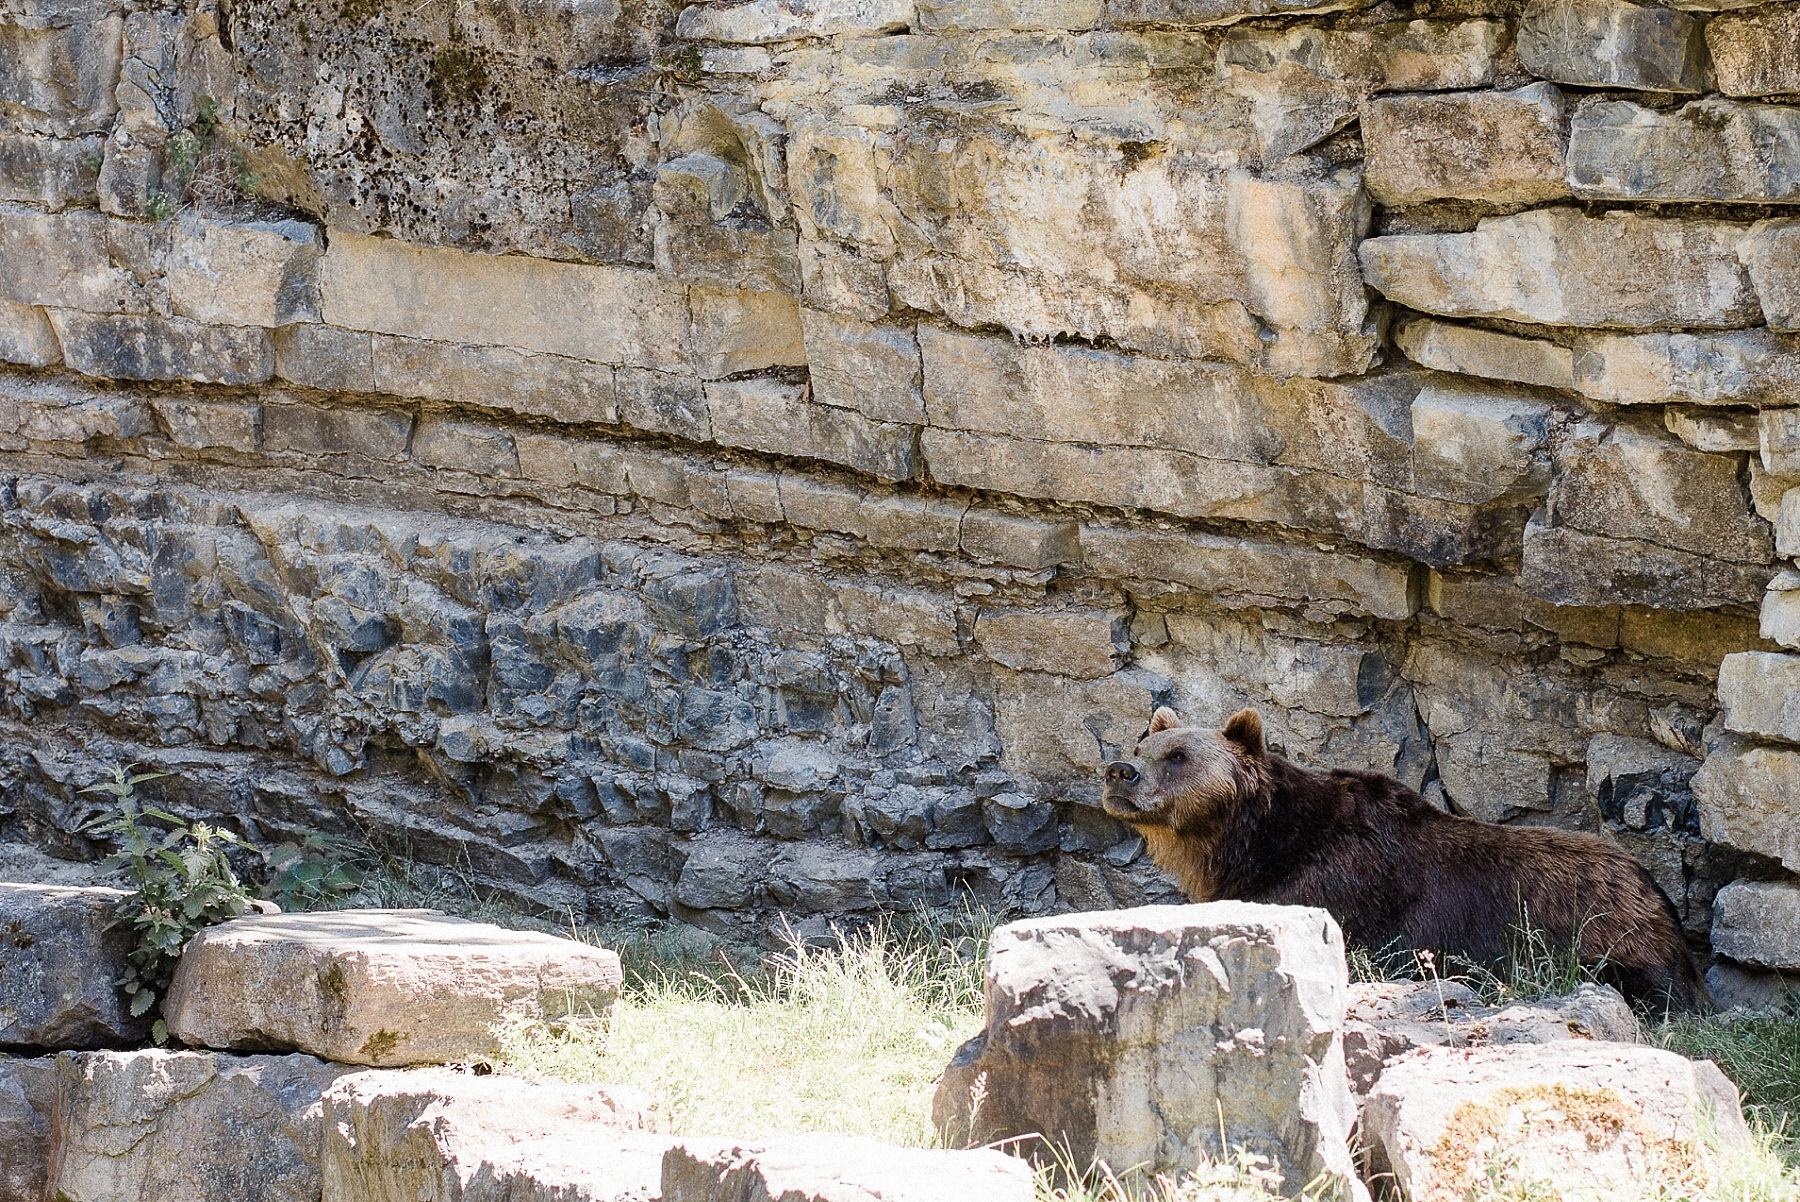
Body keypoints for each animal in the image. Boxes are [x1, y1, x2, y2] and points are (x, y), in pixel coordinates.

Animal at [1101, 705, 1706, 1014]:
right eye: (1141, 745)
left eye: (1178, 756)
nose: (1119, 772)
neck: (1250, 842)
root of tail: (1656, 890)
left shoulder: (1337, 883)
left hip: (1603, 930)